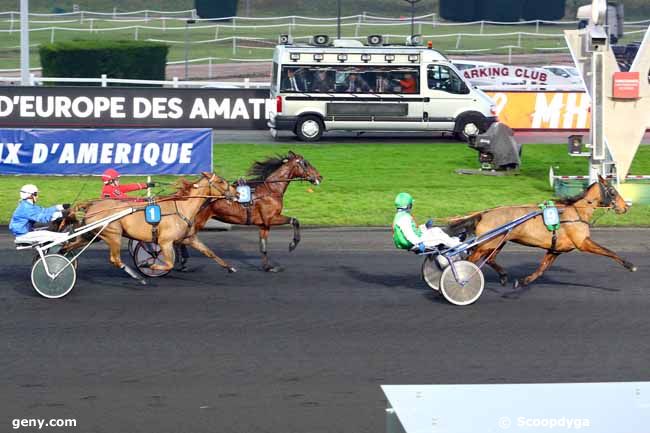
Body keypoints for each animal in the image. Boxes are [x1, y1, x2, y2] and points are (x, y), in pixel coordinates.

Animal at [60, 172, 237, 284]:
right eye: (220, 181)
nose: (236, 193)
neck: (181, 206)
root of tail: (91, 205)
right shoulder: (165, 242)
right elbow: (168, 263)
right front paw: (148, 265)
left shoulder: (189, 238)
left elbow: (210, 252)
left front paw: (230, 267)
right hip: (113, 234)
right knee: (115, 260)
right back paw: (138, 277)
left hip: (91, 234)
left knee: (68, 246)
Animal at [181, 149, 322, 270]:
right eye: (306, 163)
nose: (320, 177)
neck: (271, 190)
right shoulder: (271, 218)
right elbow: (295, 220)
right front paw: (292, 244)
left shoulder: (264, 224)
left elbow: (263, 245)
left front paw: (267, 267)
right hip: (198, 221)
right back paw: (182, 262)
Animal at [446, 176, 632, 290]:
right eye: (613, 191)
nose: (625, 207)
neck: (575, 213)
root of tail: (484, 213)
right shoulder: (583, 243)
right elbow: (609, 251)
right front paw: (629, 264)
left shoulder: (555, 249)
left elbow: (541, 269)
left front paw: (523, 281)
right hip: (487, 244)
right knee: (470, 260)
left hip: (498, 242)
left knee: (490, 259)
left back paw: (504, 276)